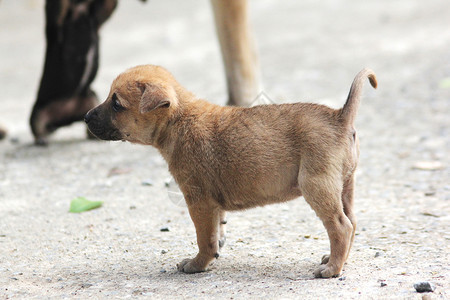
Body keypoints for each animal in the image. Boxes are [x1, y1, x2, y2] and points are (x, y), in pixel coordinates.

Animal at [83, 65, 376, 278]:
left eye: (116, 103)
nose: (85, 117)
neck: (178, 119)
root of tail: (340, 116)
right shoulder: (212, 204)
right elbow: (216, 230)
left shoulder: (198, 201)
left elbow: (204, 239)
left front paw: (197, 264)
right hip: (344, 187)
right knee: (352, 222)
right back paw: (337, 259)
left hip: (317, 187)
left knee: (341, 226)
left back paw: (332, 269)